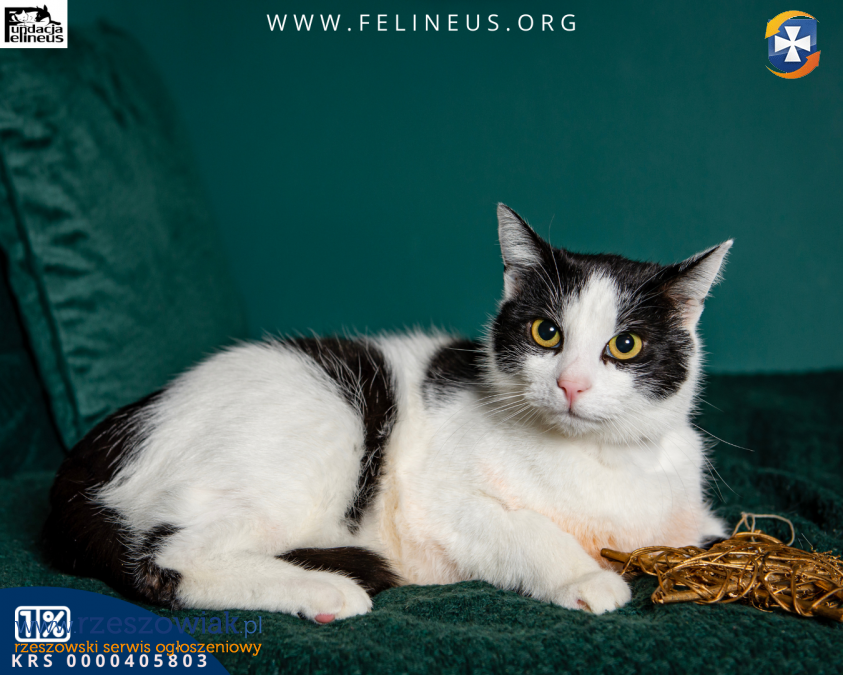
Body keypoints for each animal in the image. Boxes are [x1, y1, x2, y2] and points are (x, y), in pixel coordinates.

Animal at [43, 204, 731, 623]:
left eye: (626, 345)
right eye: (546, 333)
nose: (571, 385)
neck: (596, 461)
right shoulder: (439, 505)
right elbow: (528, 529)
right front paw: (586, 577)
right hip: (322, 428)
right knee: (167, 561)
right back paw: (323, 589)